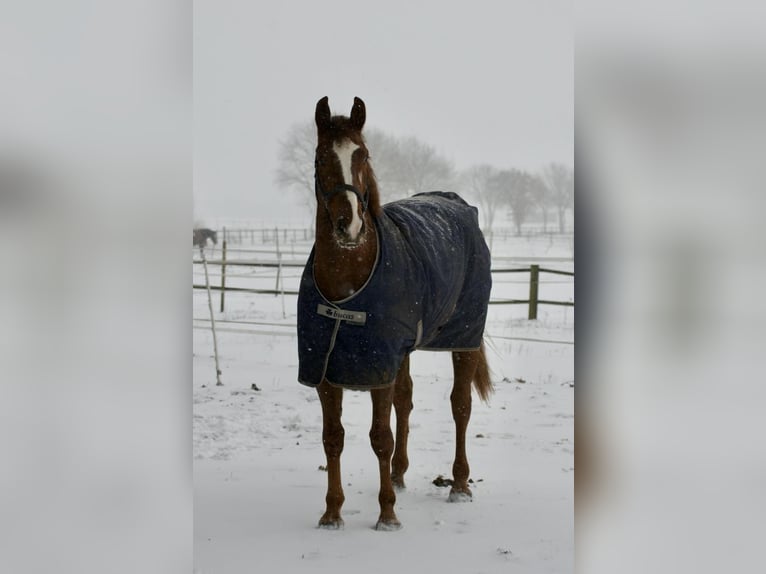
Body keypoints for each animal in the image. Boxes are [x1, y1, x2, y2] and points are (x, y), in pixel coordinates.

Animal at [297, 97, 493, 531]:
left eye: (363, 155)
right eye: (320, 158)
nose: (348, 225)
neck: (347, 287)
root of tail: (457, 202)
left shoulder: (378, 366)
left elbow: (379, 437)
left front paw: (387, 514)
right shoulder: (326, 368)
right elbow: (333, 437)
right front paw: (332, 513)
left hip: (464, 339)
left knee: (460, 406)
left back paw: (459, 484)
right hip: (404, 353)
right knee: (406, 400)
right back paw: (401, 475)